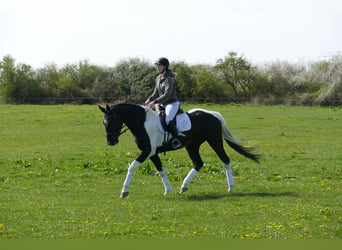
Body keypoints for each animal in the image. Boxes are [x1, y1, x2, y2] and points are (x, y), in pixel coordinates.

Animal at [99, 102, 260, 198]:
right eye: (103, 122)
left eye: (112, 121)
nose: (110, 142)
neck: (142, 122)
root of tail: (213, 114)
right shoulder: (152, 153)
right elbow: (160, 169)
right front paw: (167, 189)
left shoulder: (147, 152)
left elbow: (131, 167)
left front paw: (124, 191)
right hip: (192, 145)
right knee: (198, 163)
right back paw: (184, 186)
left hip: (214, 141)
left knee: (225, 160)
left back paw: (231, 187)